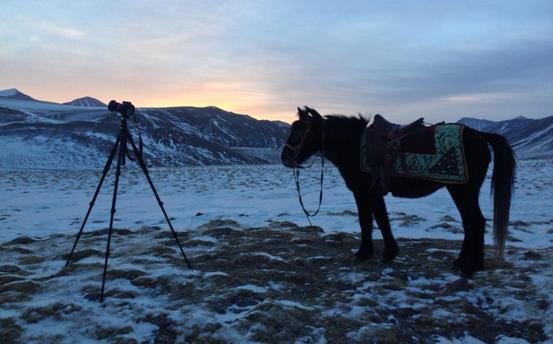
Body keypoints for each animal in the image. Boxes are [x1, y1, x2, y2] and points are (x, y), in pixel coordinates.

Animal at [282, 106, 516, 276]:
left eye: (300, 131)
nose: (284, 158)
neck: (353, 145)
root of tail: (480, 136)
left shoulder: (362, 191)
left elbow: (366, 221)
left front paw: (364, 253)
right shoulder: (374, 192)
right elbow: (380, 220)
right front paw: (388, 253)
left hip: (462, 191)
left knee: (475, 222)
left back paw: (471, 266)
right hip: (461, 191)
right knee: (470, 223)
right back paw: (460, 262)